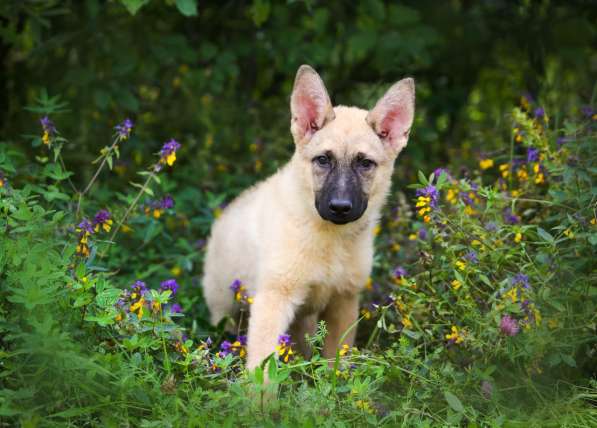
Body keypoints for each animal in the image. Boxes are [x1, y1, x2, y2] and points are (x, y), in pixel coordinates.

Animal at [203, 64, 412, 368]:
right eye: (323, 160)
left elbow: (336, 360)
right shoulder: (274, 298)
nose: (340, 207)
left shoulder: (343, 302)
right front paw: (258, 384)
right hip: (226, 307)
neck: (329, 237)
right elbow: (262, 363)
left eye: (365, 163)